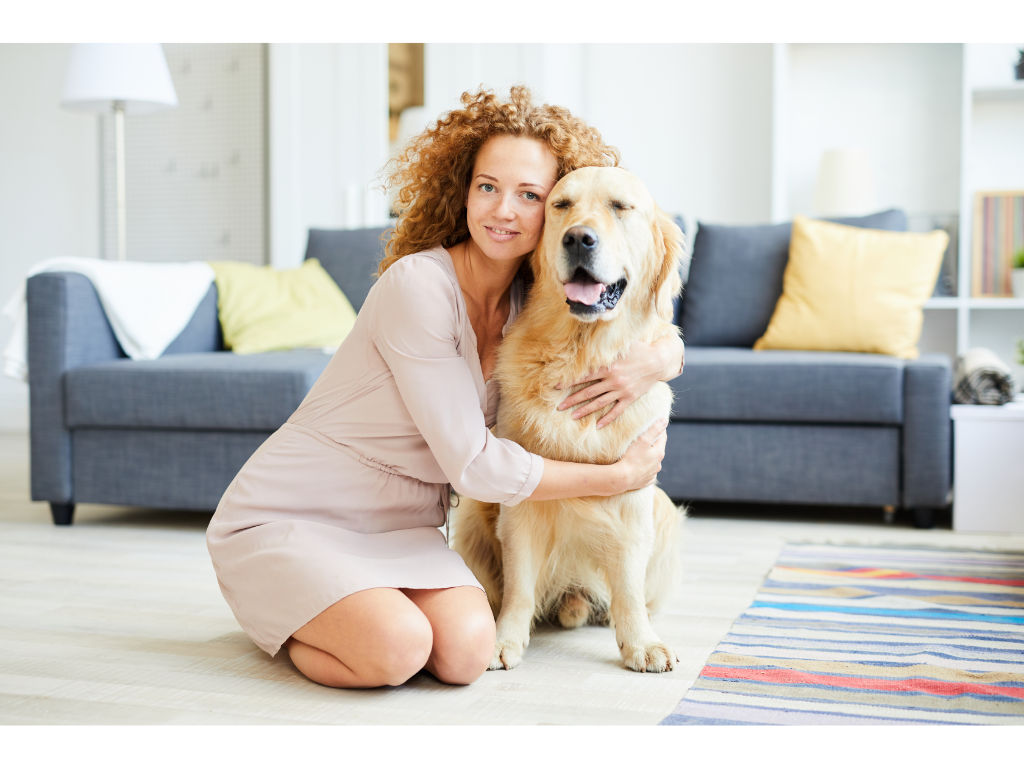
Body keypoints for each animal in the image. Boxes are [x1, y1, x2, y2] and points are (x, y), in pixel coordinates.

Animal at [452, 166, 684, 671]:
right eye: (560, 205)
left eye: (620, 206)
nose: (579, 238)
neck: (581, 353)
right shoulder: (519, 505)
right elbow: (519, 586)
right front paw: (503, 640)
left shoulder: (635, 495)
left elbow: (629, 586)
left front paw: (641, 642)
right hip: (475, 515)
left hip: (664, 512)